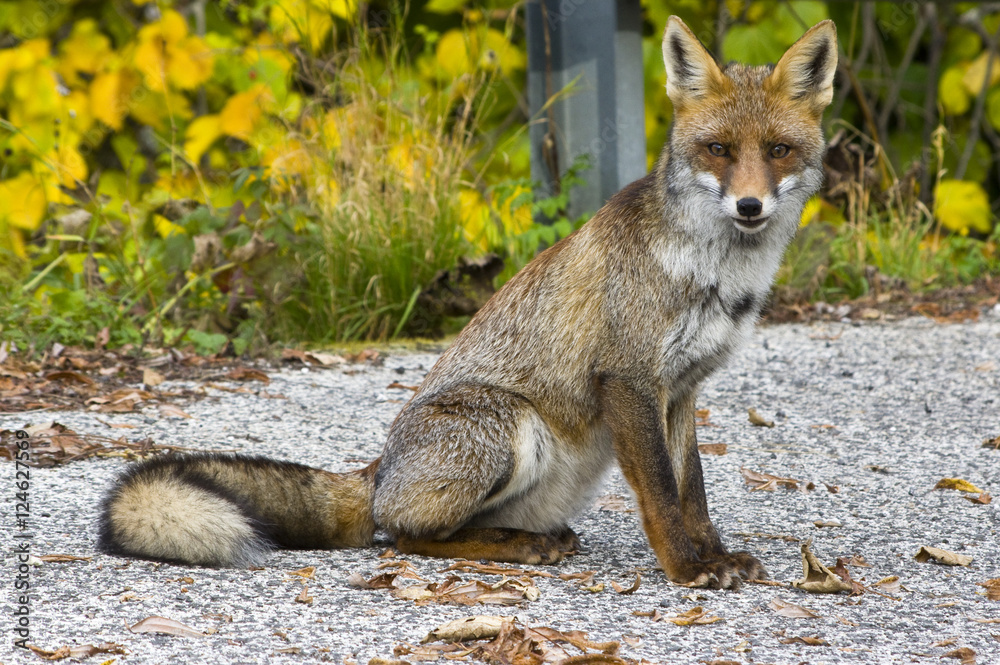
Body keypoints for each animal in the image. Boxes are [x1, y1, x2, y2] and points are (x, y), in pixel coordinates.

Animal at [98, 17, 837, 590]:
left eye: (777, 150)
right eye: (718, 149)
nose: (750, 206)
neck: (715, 274)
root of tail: (379, 469)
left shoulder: (682, 389)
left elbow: (693, 488)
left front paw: (715, 554)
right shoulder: (630, 379)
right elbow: (660, 494)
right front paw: (688, 568)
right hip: (511, 425)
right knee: (404, 533)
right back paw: (518, 547)